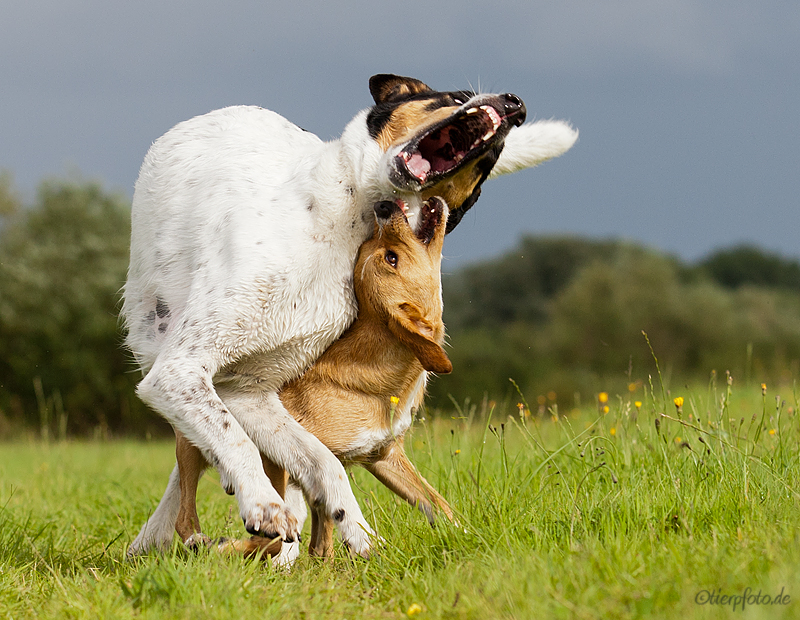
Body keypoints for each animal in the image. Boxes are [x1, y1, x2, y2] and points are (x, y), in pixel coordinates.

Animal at [177, 199, 456, 560]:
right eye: (389, 257)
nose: (384, 205)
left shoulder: (384, 455)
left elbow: (435, 502)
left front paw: (463, 534)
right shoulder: (286, 458)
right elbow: (289, 523)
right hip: (190, 444)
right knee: (186, 515)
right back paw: (207, 542)